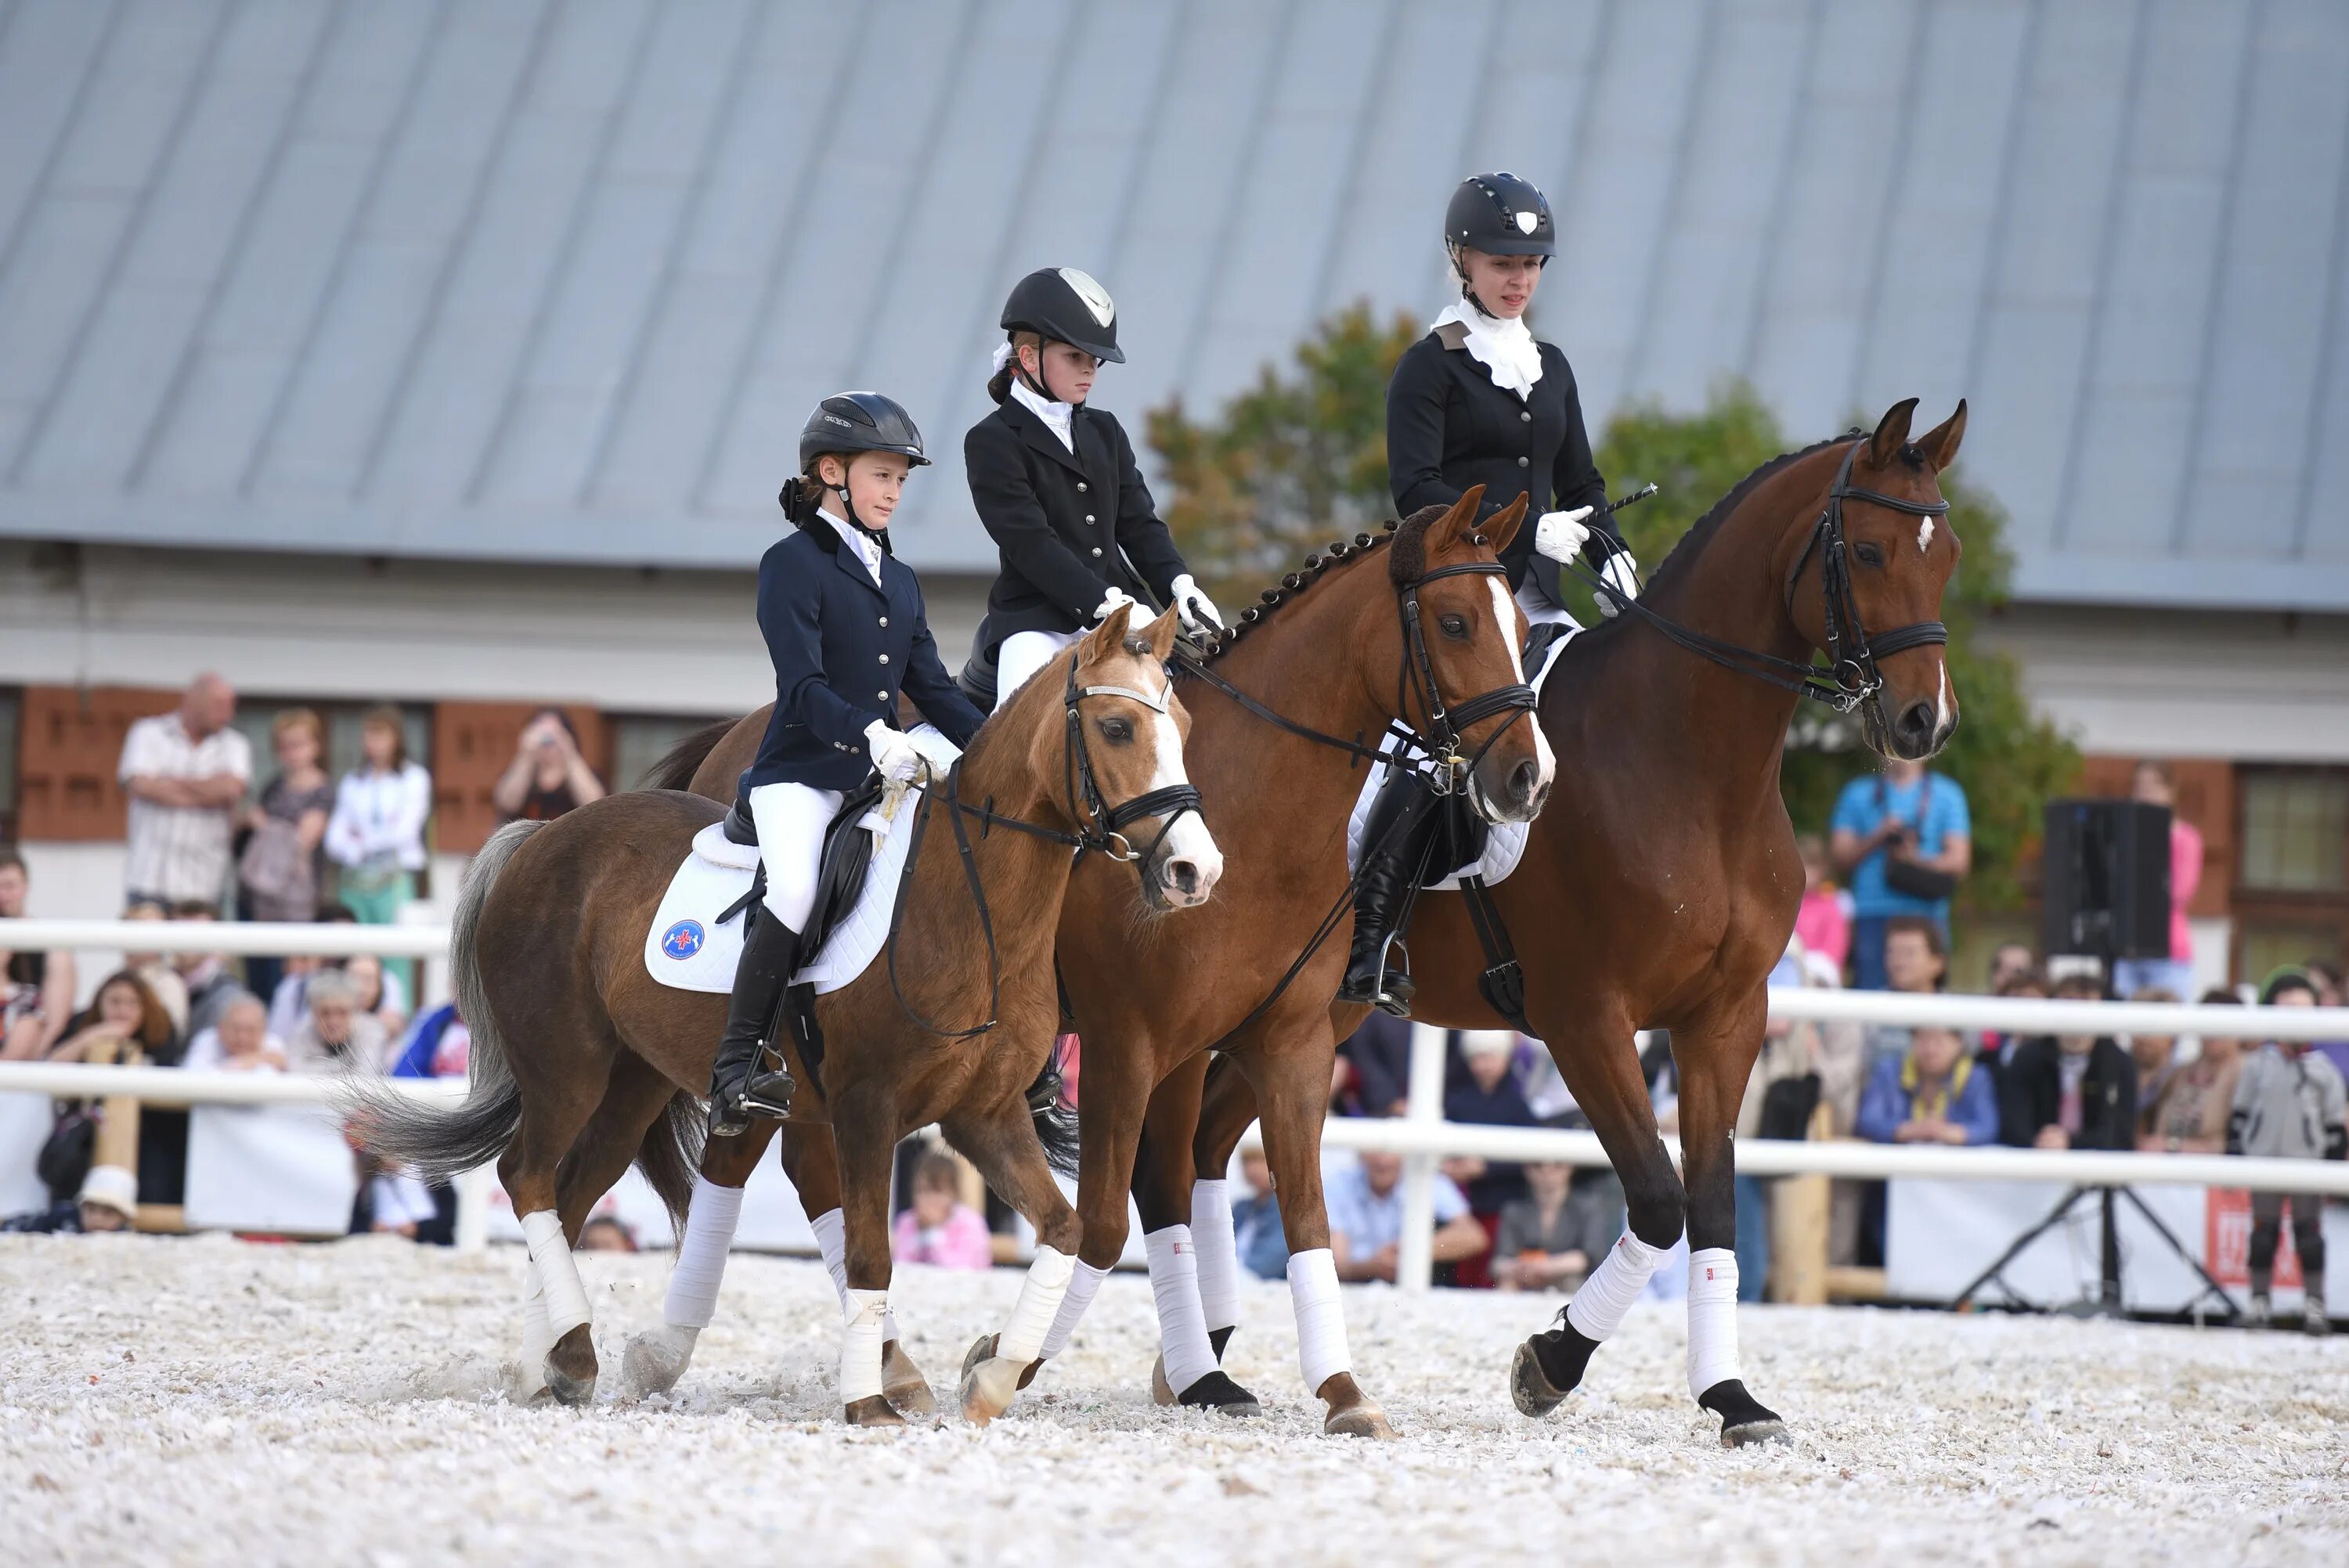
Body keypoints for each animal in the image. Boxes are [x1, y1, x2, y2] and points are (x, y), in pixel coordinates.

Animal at [362, 605, 1231, 1427]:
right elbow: (873, 1254)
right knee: (526, 1174)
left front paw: (991, 1377)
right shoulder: (867, 1109)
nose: (1196, 870)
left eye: (1188, 729)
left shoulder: (982, 1113)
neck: (969, 902)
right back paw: (571, 1353)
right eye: (1116, 726)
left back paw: (548, 1363)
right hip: (566, 1067)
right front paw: (869, 1404)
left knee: (569, 1189)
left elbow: (1063, 1228)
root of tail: (544, 833)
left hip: (631, 1082)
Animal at [625, 490, 1550, 1436]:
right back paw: (677, 1350)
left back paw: (892, 1363)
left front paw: (1332, 1390)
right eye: (1455, 621)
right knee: (743, 1157)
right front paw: (1006, 1361)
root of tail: (736, 733)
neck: (1257, 814)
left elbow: (1296, 1213)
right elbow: (1110, 1217)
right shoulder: (1129, 1041)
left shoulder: (1281, 1043)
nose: (1528, 778)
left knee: (814, 1170)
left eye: (1523, 627)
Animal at [1146, 398, 1973, 1436]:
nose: (1923, 724)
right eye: (1866, 551)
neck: (1690, 767)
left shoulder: (1727, 1015)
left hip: (1316, 1007)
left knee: (1207, 1143)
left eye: (1948, 555)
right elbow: (1658, 1198)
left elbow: (1712, 1200)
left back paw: (1201, 1354)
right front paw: (1550, 1361)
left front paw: (1732, 1396)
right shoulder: (1585, 1017)